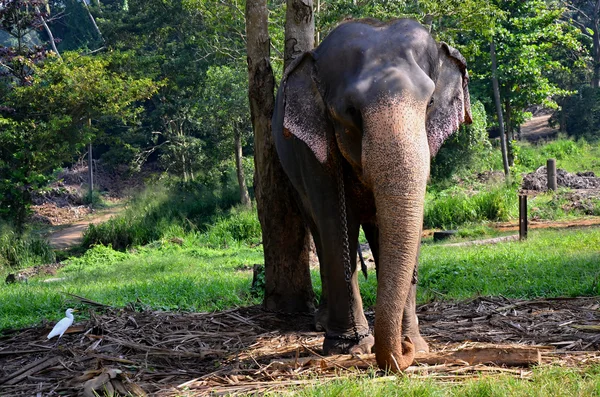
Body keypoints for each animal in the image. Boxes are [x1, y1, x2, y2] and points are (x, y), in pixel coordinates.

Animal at [272, 17, 474, 372]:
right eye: (350, 110)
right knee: (319, 232)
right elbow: (335, 224)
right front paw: (349, 346)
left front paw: (416, 344)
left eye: (430, 103)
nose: (404, 350)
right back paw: (323, 323)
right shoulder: (314, 153)